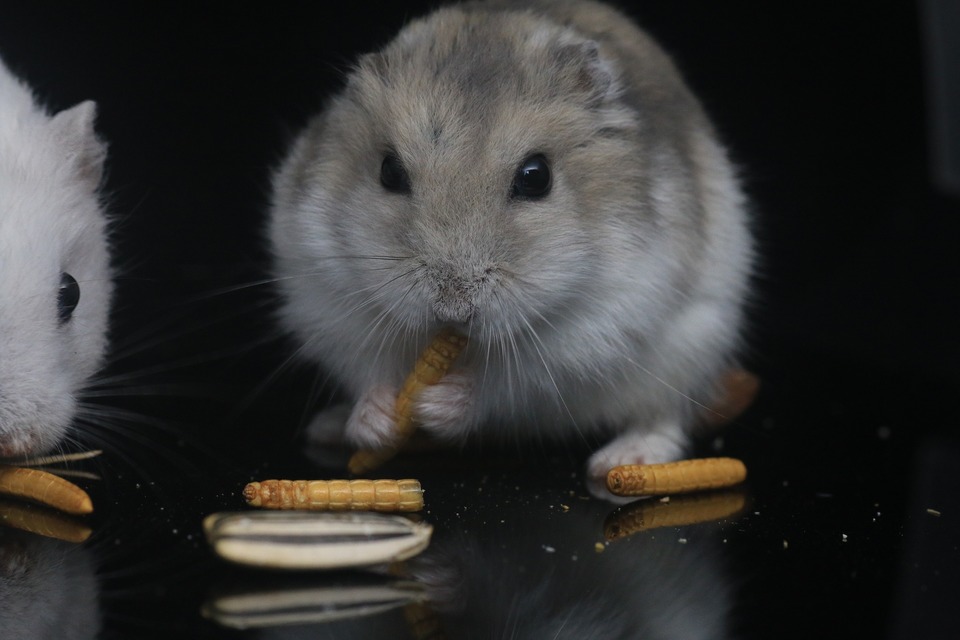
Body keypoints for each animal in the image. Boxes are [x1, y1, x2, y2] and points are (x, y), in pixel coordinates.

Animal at [268, 0, 753, 479]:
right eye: (389, 171)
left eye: (536, 177)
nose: (453, 309)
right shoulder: (326, 294)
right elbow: (370, 366)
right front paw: (377, 420)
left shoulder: (601, 322)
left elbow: (512, 382)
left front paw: (436, 404)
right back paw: (329, 427)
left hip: (692, 346)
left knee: (664, 416)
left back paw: (622, 461)